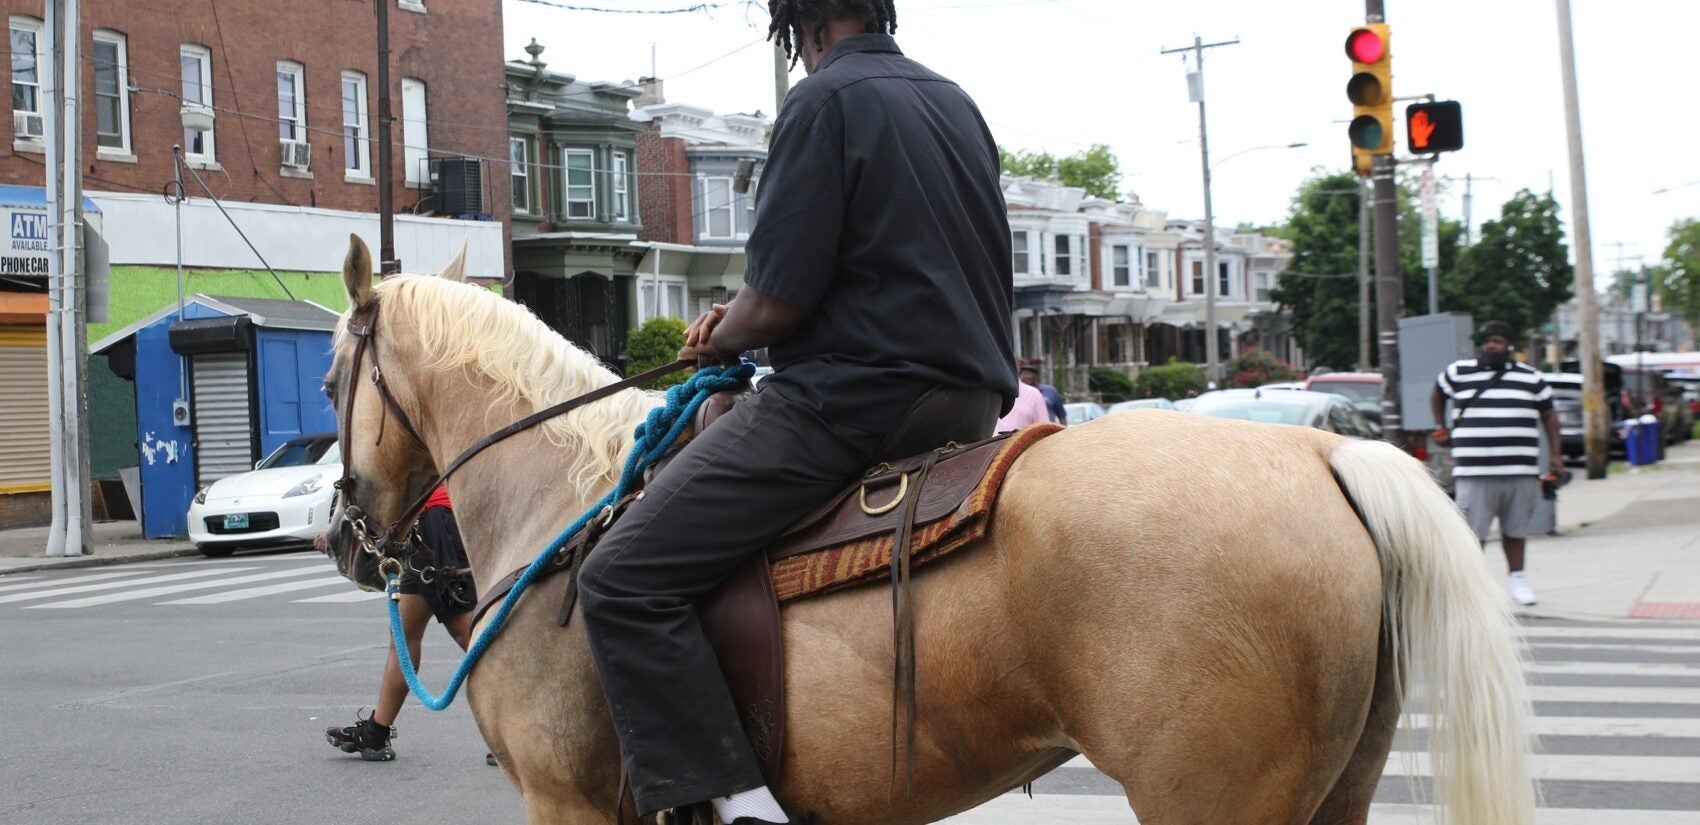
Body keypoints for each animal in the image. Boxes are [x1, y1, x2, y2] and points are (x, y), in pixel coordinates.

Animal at [324, 238, 1536, 823]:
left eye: (333, 377)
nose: (346, 534)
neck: (560, 506)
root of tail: (1325, 453)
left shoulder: (568, 799)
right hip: (1336, 789)